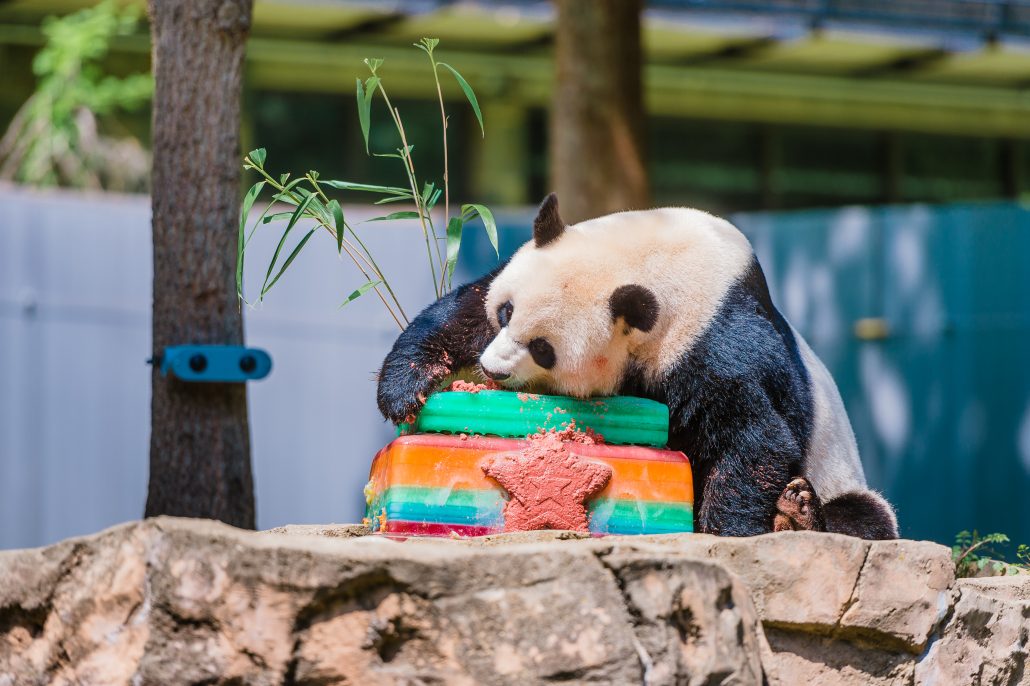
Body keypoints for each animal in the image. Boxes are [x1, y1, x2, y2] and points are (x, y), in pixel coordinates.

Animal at [374, 192, 898, 539]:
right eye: (506, 312)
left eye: (544, 349)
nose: (493, 369)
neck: (648, 264)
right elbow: (461, 312)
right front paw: (406, 388)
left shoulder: (711, 340)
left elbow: (757, 436)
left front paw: (727, 531)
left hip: (839, 466)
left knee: (866, 516)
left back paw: (794, 513)